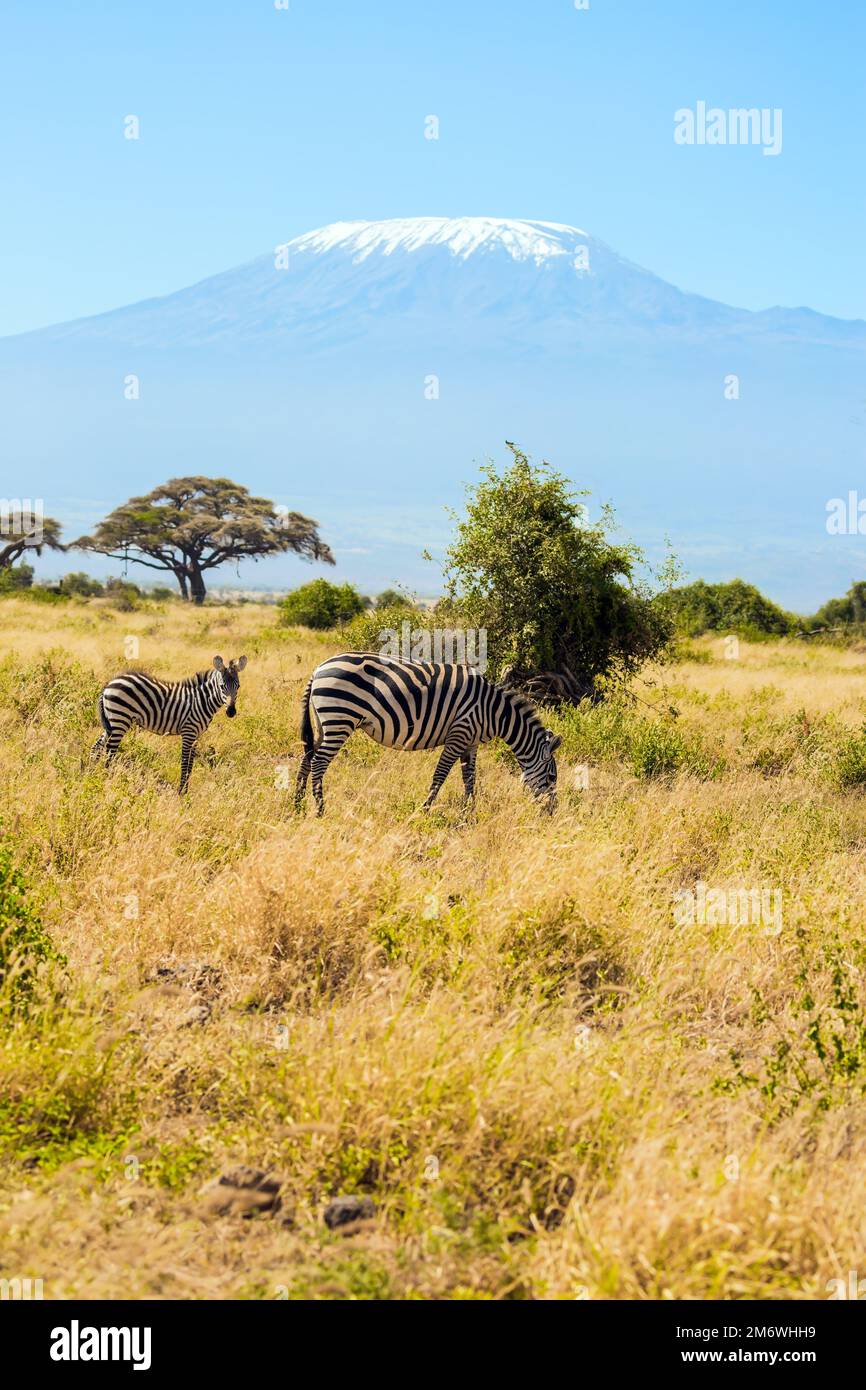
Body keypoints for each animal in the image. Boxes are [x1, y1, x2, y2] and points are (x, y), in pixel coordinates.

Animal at [91, 653, 247, 795]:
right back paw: (109, 779)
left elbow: (190, 764)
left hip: (112, 721)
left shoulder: (196, 736)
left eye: (238, 686)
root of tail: (109, 684)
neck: (202, 700)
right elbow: (184, 763)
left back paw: (92, 775)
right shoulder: (188, 732)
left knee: (96, 747)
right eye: (222, 686)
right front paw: (181, 793)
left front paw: (186, 792)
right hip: (120, 720)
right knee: (109, 751)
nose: (231, 712)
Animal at [296, 650, 561, 811]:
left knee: (307, 757)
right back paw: (320, 809)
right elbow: (440, 775)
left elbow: (470, 777)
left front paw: (469, 811)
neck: (493, 711)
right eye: (551, 777)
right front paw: (425, 809)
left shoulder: (471, 741)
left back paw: (296, 805)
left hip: (324, 722)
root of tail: (319, 668)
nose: (551, 812)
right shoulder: (459, 733)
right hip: (339, 718)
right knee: (319, 763)